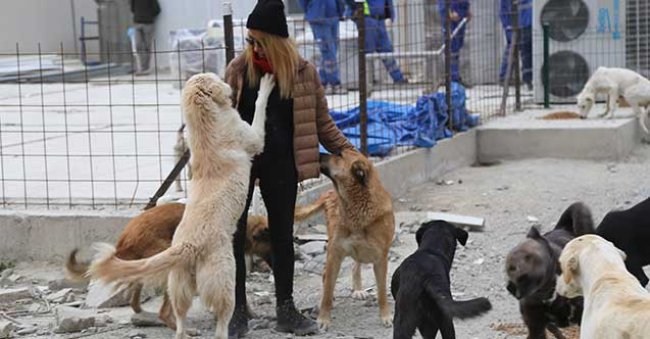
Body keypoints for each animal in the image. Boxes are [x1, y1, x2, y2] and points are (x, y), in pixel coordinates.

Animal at [308, 150, 394, 330]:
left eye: (338, 155)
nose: (317, 152)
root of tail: (330, 193)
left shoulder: (380, 259)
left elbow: (382, 292)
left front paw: (386, 316)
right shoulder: (335, 254)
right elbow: (328, 291)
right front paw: (323, 318)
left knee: (356, 266)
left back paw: (358, 290)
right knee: (327, 276)